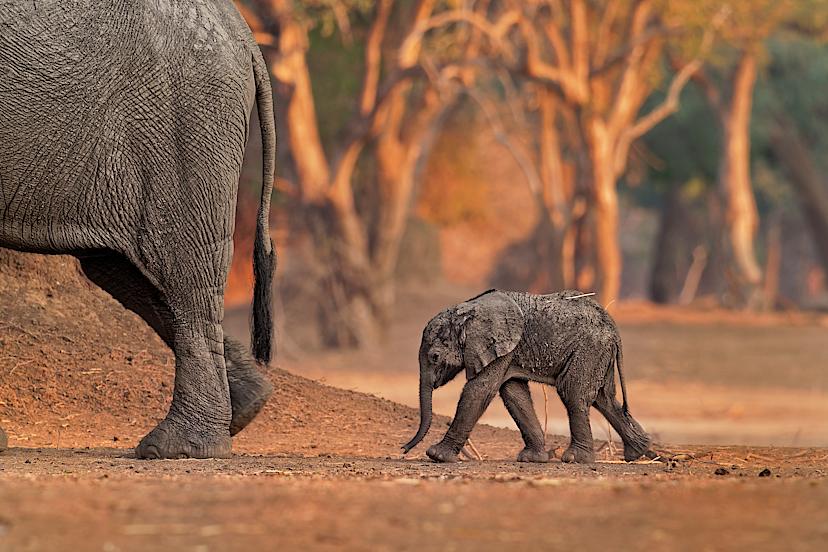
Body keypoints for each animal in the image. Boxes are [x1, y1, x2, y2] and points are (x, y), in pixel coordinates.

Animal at [0, 0, 276, 458]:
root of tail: (243, 32)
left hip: (185, 125)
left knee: (180, 268)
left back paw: (178, 448)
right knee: (131, 274)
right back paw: (248, 406)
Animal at [402, 290, 652, 464]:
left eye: (434, 357)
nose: (403, 449)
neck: (469, 310)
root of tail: (614, 328)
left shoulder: (500, 347)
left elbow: (480, 390)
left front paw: (436, 456)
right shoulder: (507, 350)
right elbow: (513, 394)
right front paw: (533, 459)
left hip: (590, 349)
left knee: (573, 393)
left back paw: (575, 459)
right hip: (599, 353)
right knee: (604, 398)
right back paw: (637, 452)